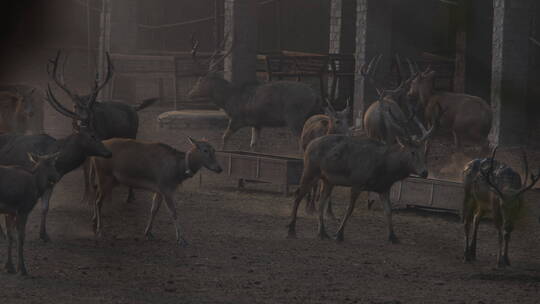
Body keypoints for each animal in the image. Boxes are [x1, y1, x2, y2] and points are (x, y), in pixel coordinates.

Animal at [46, 51, 158, 205]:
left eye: (91, 104)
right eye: (75, 105)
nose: (83, 120)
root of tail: (133, 107)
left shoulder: (101, 142)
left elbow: (94, 169)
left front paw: (97, 194)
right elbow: (86, 171)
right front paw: (85, 198)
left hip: (133, 133)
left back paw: (130, 196)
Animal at [90, 137, 224, 246]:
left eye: (214, 150)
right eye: (205, 150)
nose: (219, 168)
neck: (178, 172)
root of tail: (92, 157)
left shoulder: (159, 189)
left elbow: (154, 209)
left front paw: (148, 233)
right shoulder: (166, 188)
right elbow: (174, 212)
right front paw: (181, 239)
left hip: (111, 180)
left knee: (96, 195)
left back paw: (94, 222)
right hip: (105, 176)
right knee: (98, 201)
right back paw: (100, 230)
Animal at [187, 35, 320, 151]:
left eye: (200, 80)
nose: (189, 94)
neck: (227, 100)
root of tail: (315, 96)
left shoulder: (237, 118)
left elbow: (224, 137)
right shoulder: (257, 123)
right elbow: (253, 144)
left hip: (294, 116)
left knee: (302, 141)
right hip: (312, 114)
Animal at [288, 102, 436, 245]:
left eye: (423, 152)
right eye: (412, 152)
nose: (424, 172)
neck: (385, 170)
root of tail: (310, 145)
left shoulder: (383, 188)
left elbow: (388, 211)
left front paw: (393, 237)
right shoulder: (357, 183)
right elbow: (350, 209)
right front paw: (339, 234)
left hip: (328, 180)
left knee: (321, 201)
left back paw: (322, 233)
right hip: (310, 170)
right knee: (298, 194)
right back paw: (292, 230)